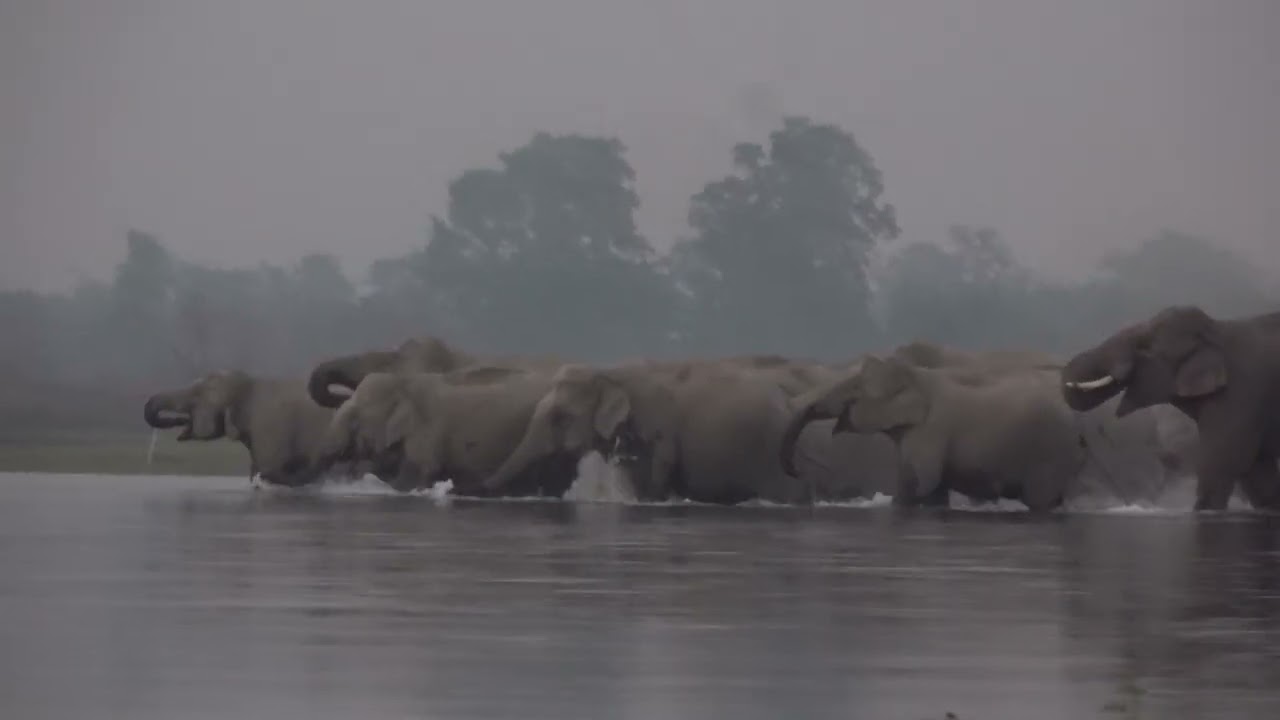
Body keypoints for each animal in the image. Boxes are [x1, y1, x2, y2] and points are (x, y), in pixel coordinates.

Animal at [480, 362, 814, 506]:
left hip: (772, 459)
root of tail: (790, 402)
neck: (610, 373)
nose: (477, 488)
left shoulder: (658, 429)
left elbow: (655, 476)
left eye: (561, 418)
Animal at [781, 354, 1089, 512]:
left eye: (855, 389)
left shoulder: (930, 431)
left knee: (1040, 500)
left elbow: (920, 484)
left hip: (1049, 455)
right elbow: (930, 491)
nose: (798, 470)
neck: (917, 375)